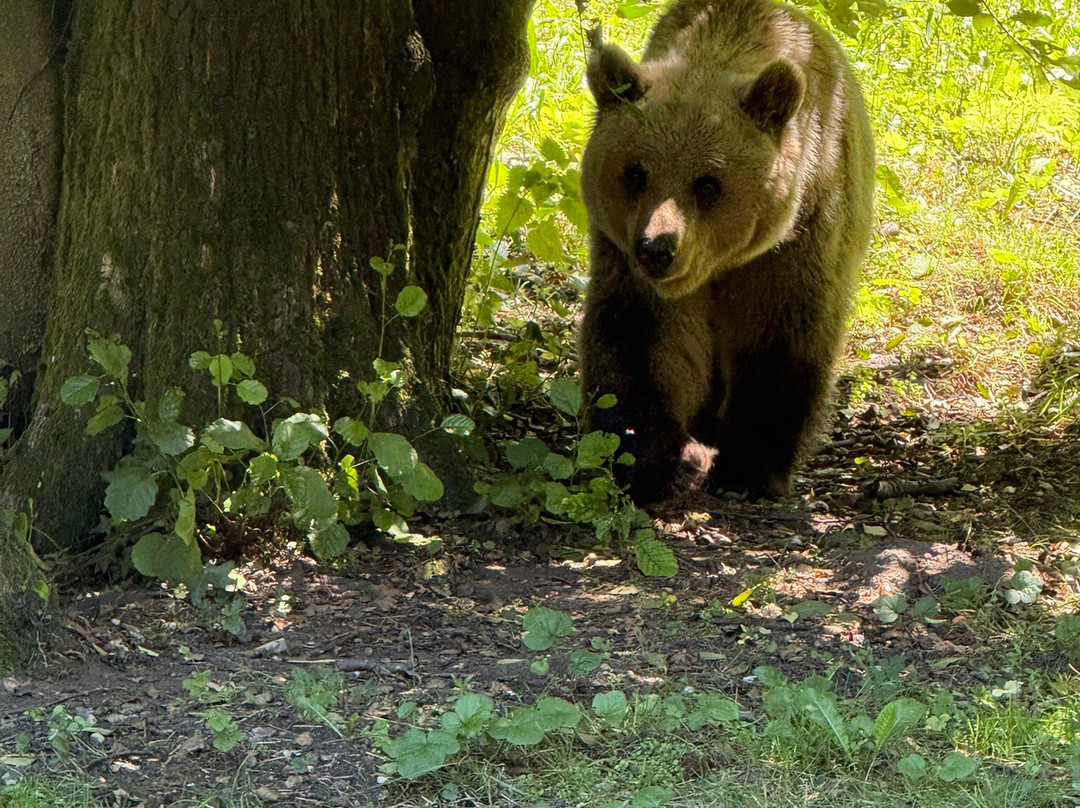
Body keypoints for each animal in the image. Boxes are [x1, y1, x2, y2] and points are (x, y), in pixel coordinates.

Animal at [578, 0, 875, 503]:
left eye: (708, 183)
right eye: (635, 173)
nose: (657, 247)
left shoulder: (797, 240)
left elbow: (781, 342)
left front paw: (749, 469)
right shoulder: (628, 263)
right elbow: (640, 341)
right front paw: (639, 458)